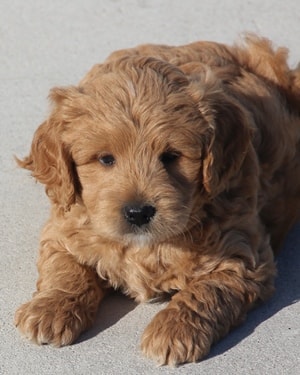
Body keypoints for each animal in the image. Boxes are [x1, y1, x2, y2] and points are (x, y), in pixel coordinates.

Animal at [14, 36, 300, 368]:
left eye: (171, 156)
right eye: (105, 159)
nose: (138, 212)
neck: (146, 246)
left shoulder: (242, 254)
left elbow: (206, 291)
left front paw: (174, 331)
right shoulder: (63, 229)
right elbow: (65, 268)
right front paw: (49, 309)